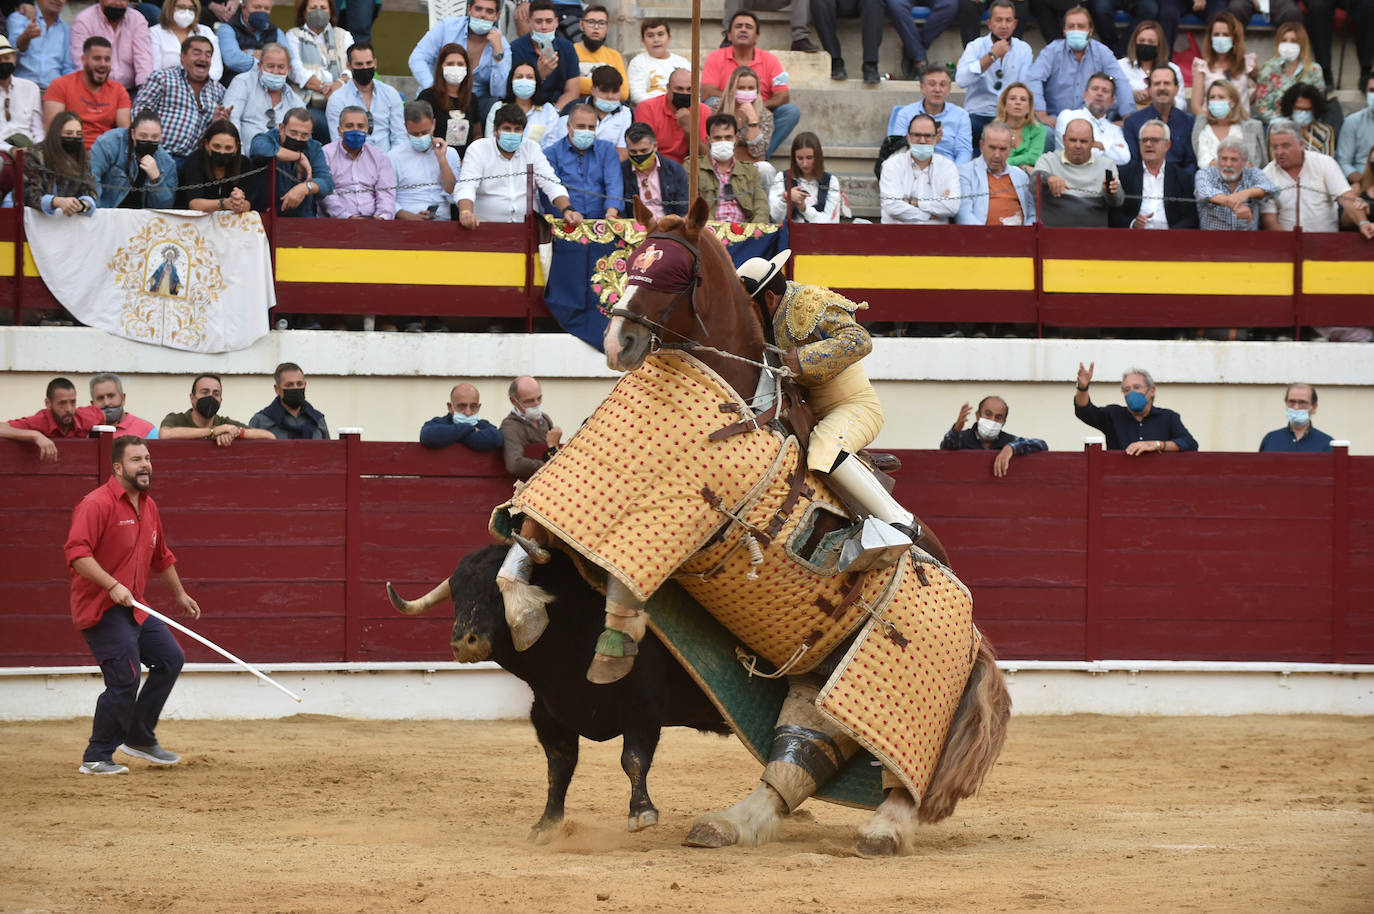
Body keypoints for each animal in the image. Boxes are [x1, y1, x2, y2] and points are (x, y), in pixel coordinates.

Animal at [505, 197, 1011, 857]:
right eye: (633, 262)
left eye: (673, 274)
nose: (618, 341)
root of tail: (978, 635)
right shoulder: (579, 502)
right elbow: (529, 540)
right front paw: (526, 613)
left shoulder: (685, 526)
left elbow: (621, 581)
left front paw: (616, 645)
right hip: (817, 675)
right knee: (805, 749)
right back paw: (732, 822)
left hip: (898, 683)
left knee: (897, 769)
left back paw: (883, 827)